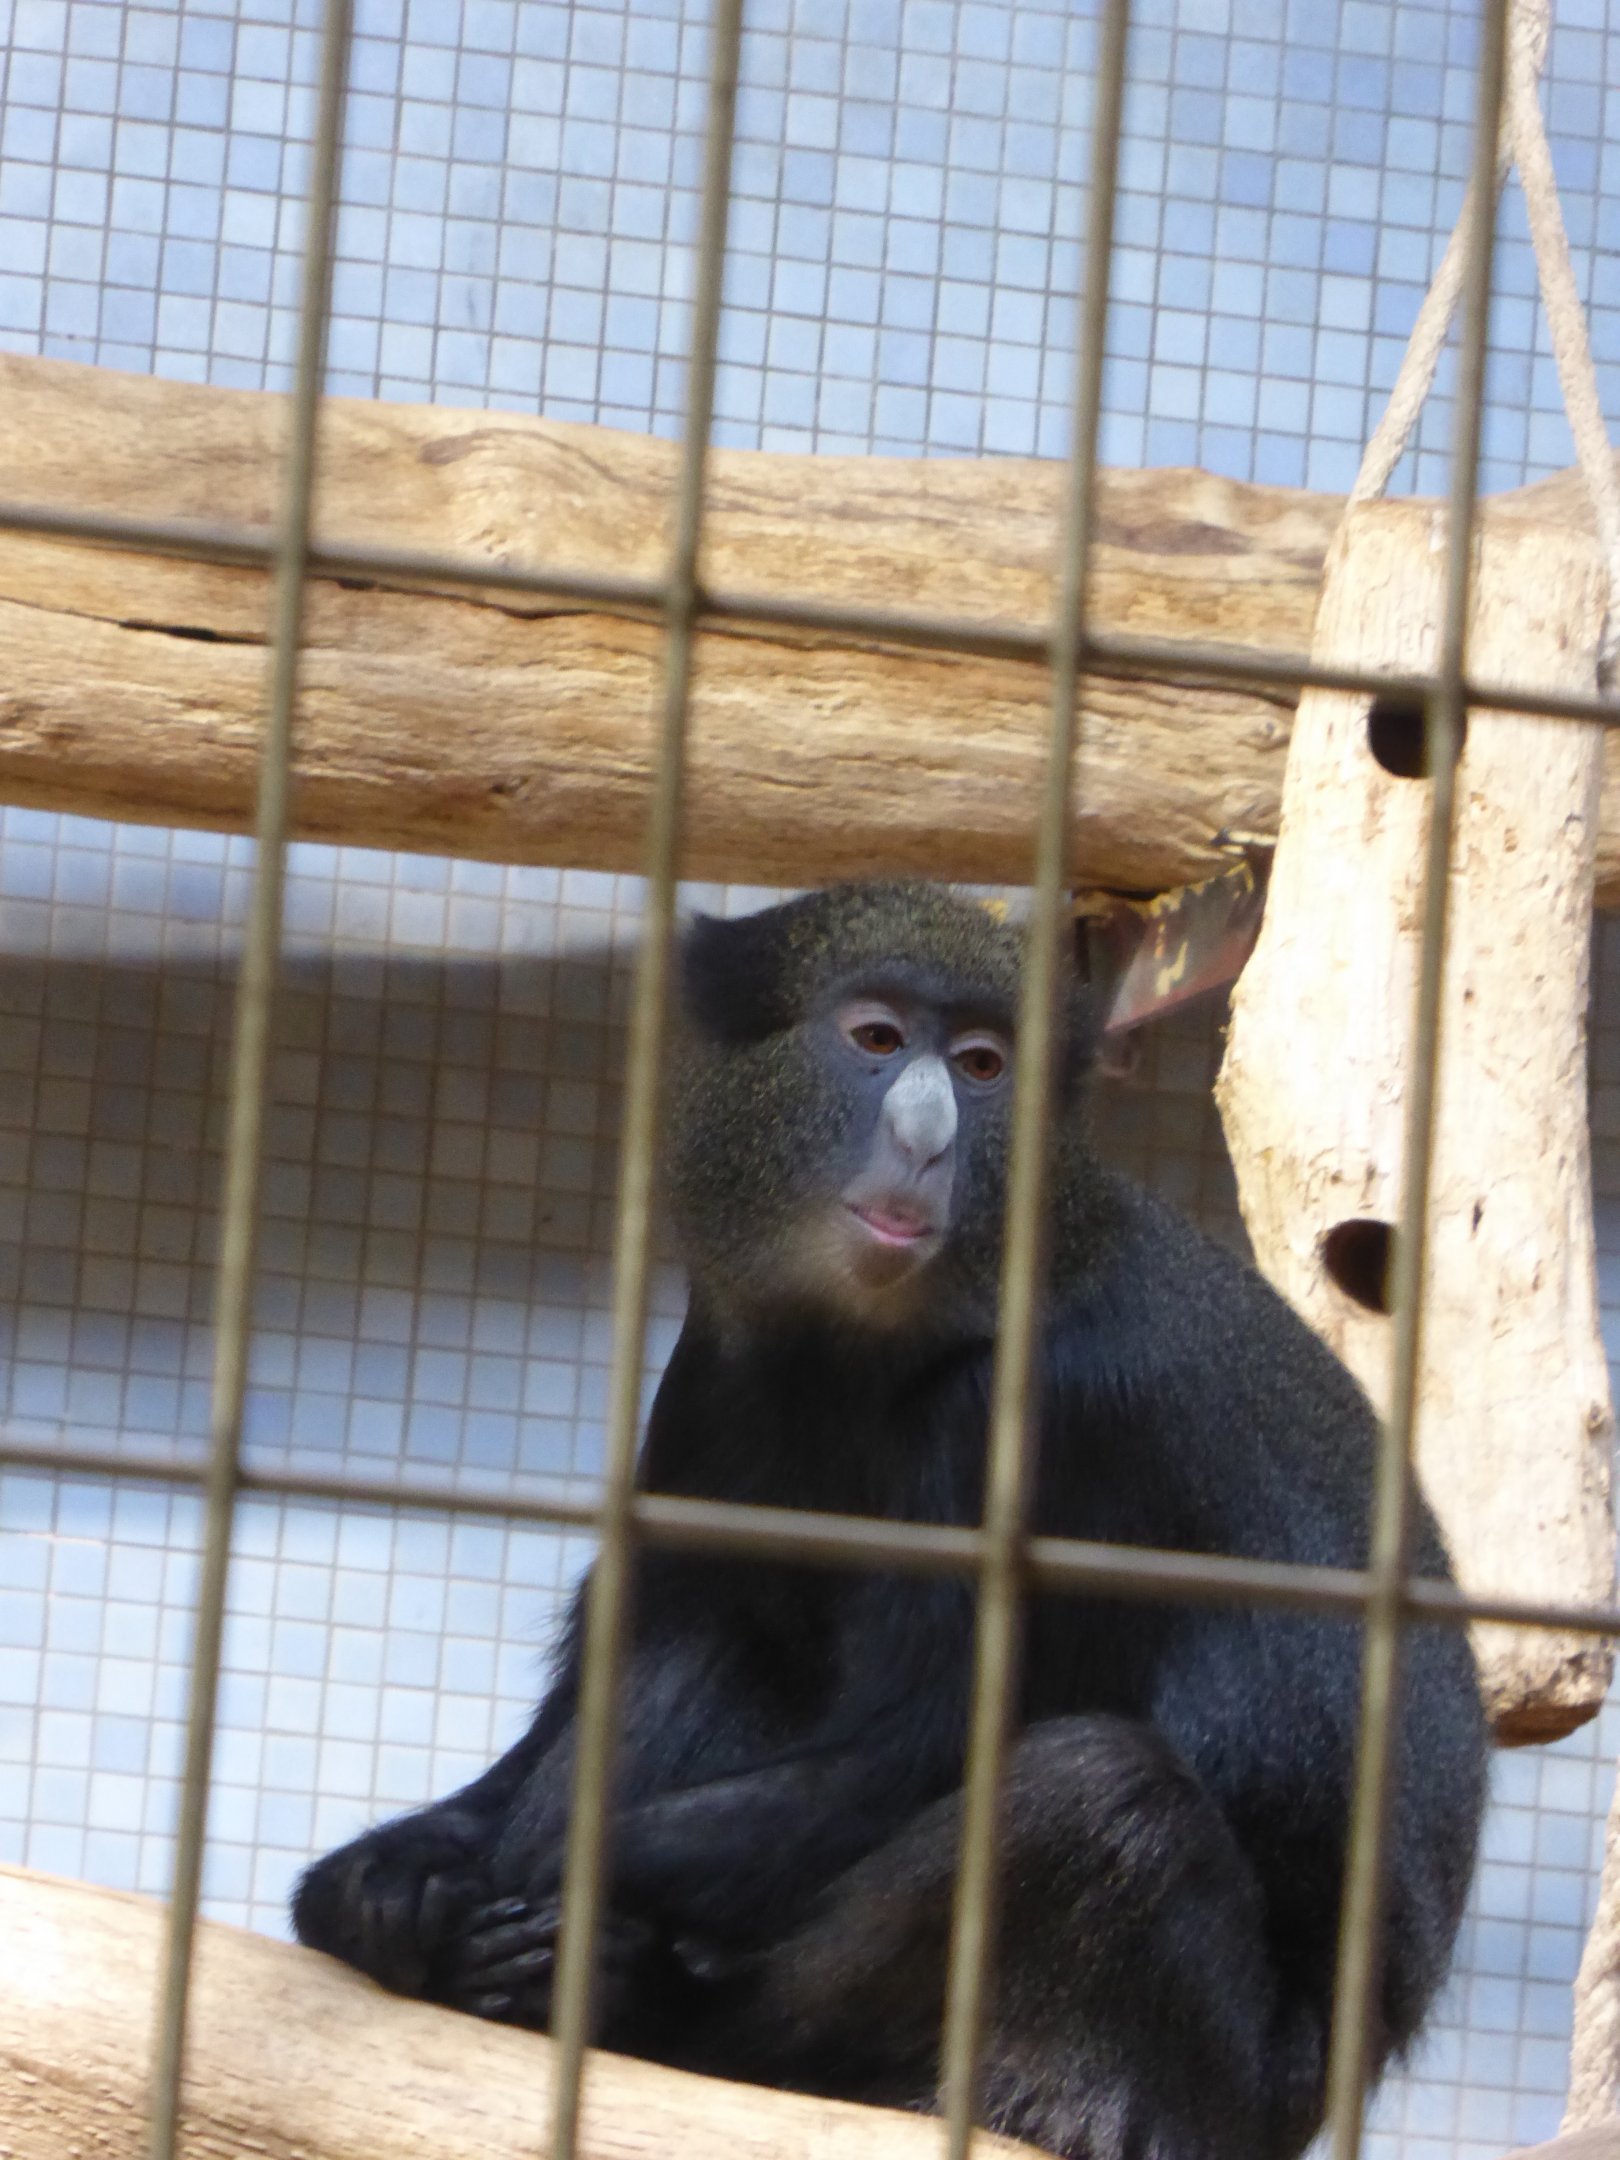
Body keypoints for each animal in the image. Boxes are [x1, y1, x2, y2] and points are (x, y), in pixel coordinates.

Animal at [292, 881, 1486, 2160]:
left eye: (981, 1066)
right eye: (875, 1040)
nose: (925, 1136)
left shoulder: (1047, 1411)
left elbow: (924, 1737)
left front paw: (519, 1881)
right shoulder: (712, 1359)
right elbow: (630, 1646)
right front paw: (391, 1881)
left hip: (1222, 2080)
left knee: (1106, 1797)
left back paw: (661, 2009)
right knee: (707, 1635)